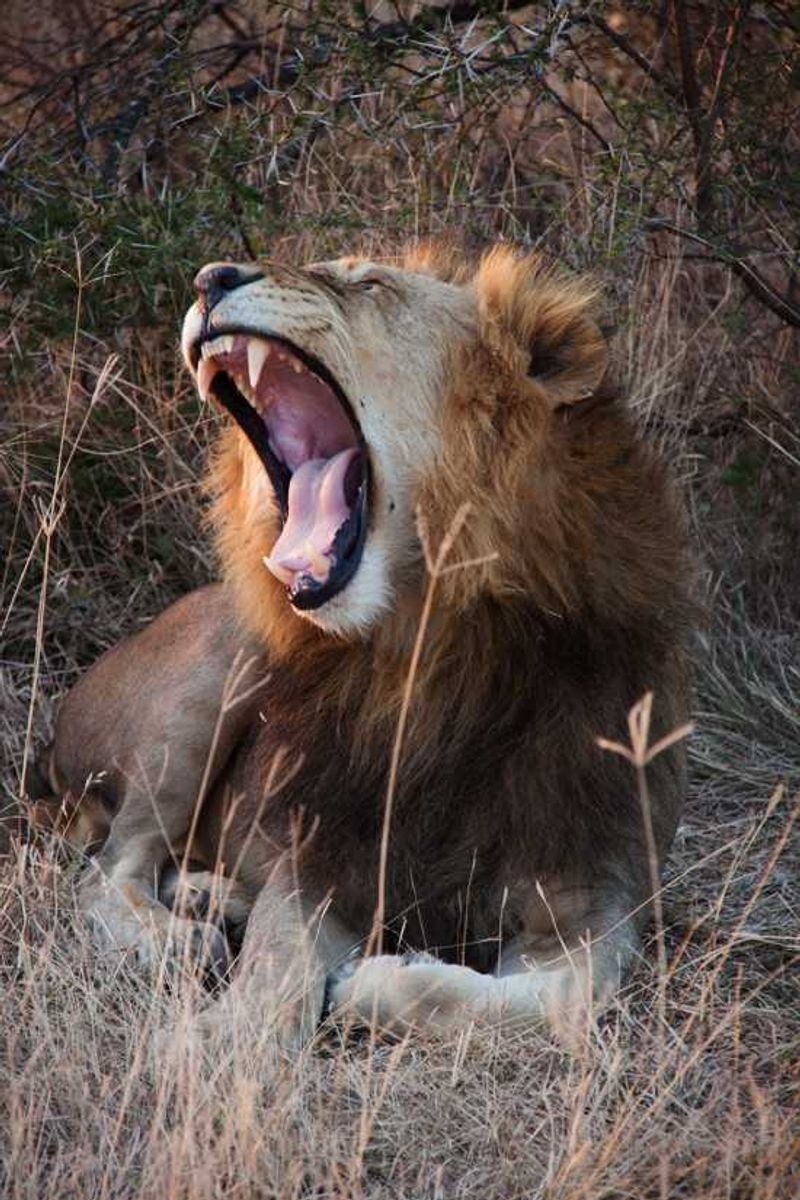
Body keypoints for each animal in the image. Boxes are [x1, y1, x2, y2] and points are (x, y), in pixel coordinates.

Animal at [42, 243, 693, 1044]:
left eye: (372, 285)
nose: (209, 278)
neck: (437, 656)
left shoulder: (595, 891)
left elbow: (565, 997)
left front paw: (371, 983)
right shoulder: (320, 851)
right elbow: (274, 970)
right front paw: (215, 1044)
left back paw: (212, 897)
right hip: (210, 683)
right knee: (106, 871)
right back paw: (175, 936)